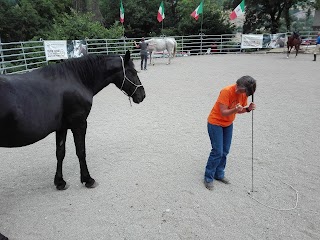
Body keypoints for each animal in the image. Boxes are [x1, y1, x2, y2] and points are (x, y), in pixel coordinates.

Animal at [0, 50, 146, 189]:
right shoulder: (79, 124)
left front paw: (59, 182)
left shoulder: (61, 127)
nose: (142, 95)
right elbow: (81, 151)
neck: (75, 79)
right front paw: (88, 179)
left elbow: (60, 153)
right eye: (133, 72)